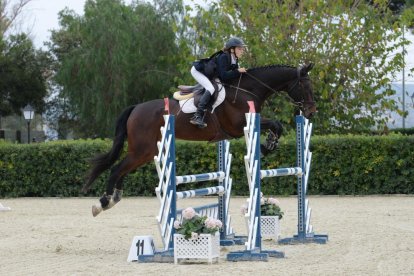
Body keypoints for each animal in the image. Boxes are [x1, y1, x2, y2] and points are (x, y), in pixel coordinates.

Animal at [83, 62, 316, 216]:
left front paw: (268, 145)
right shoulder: (239, 125)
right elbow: (275, 123)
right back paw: (103, 202)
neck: (247, 90)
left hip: (146, 151)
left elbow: (277, 125)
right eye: (304, 86)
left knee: (122, 168)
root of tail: (135, 108)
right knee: (117, 168)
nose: (311, 112)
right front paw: (267, 145)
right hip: (142, 149)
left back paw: (114, 197)